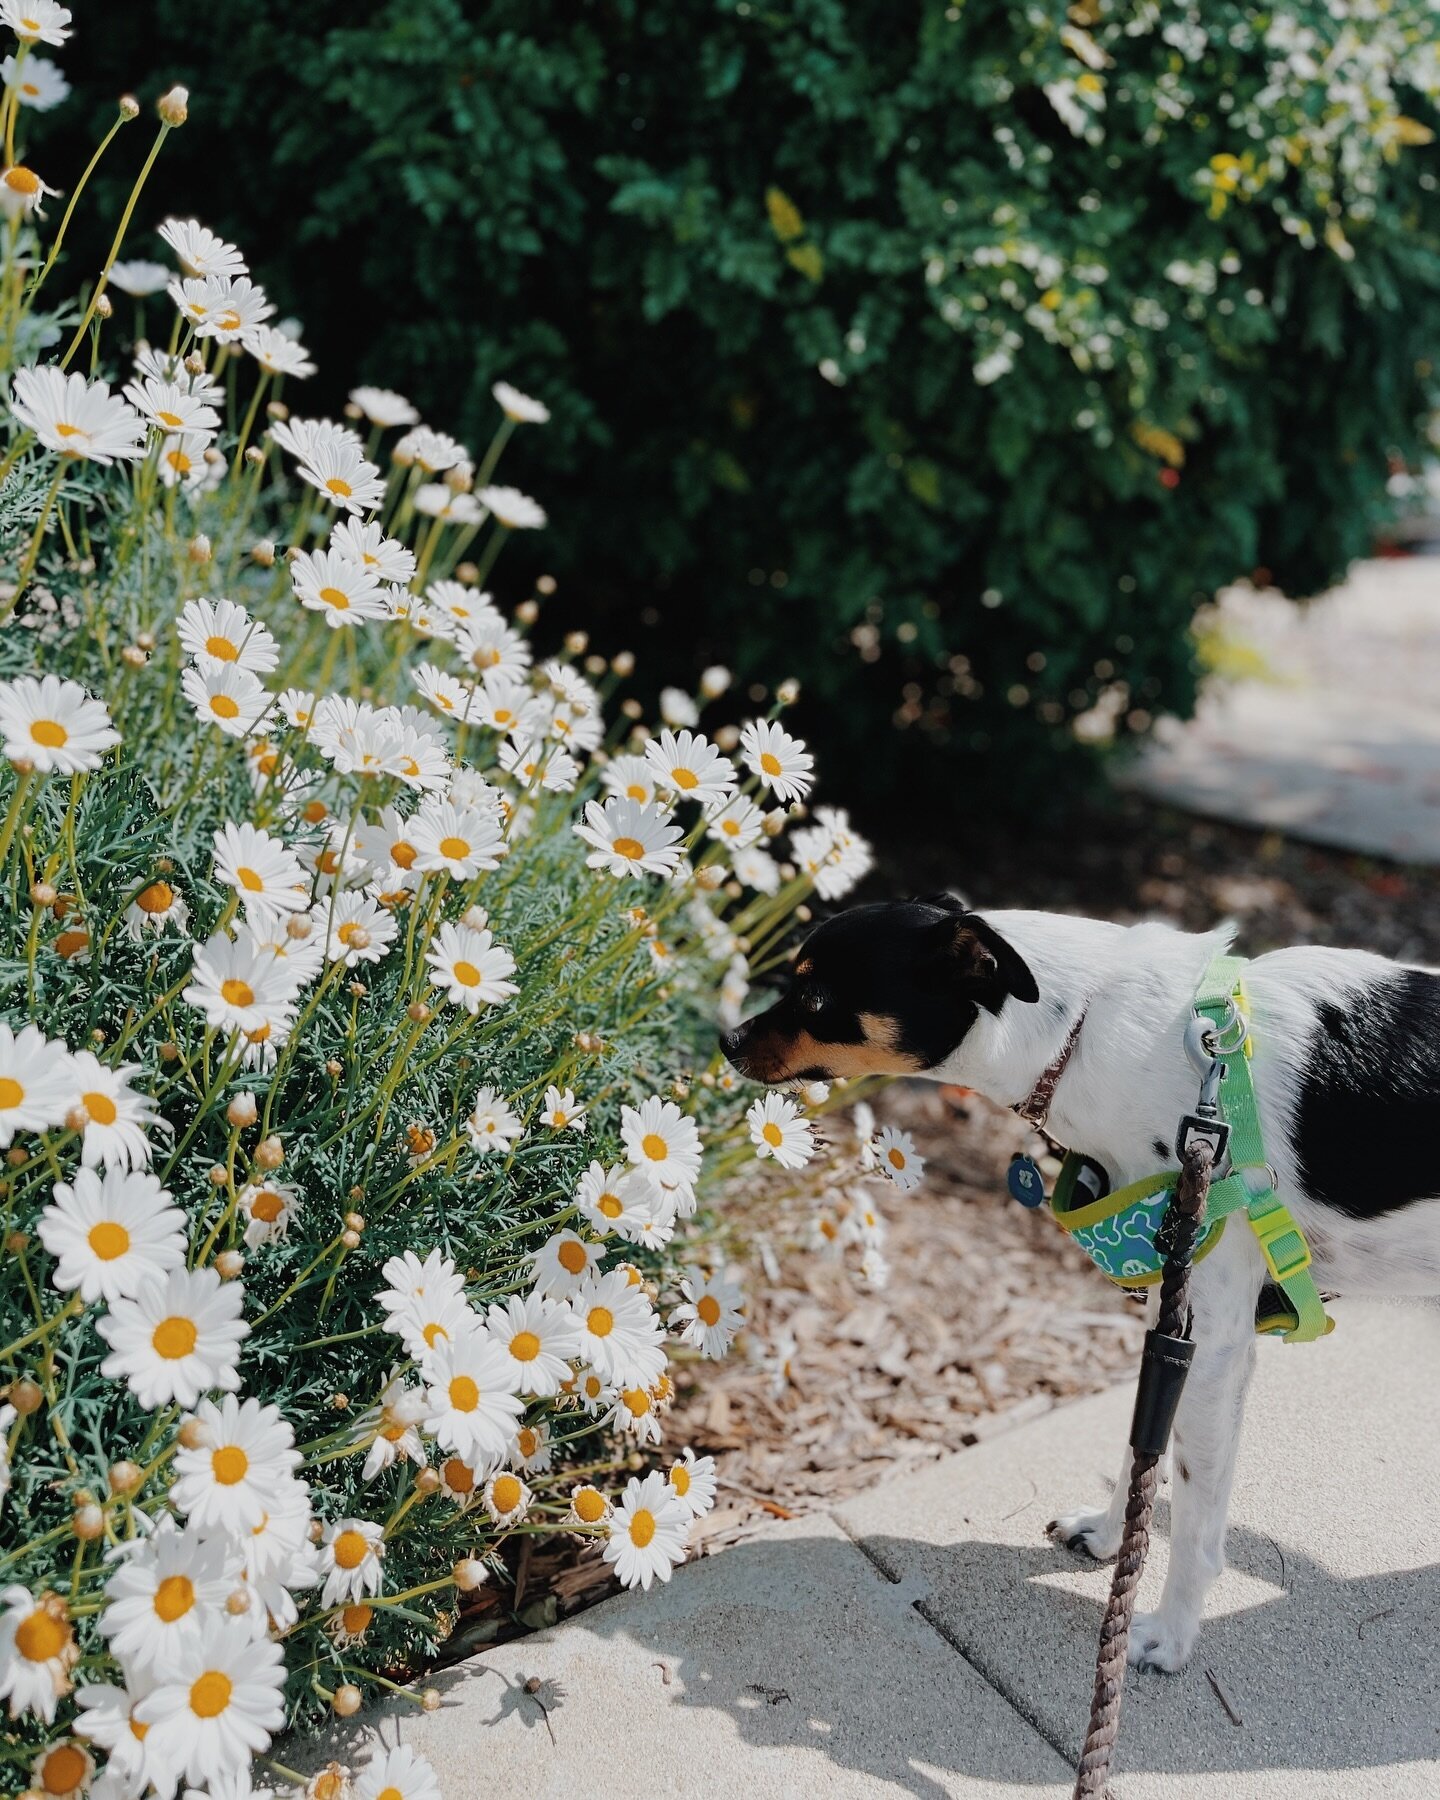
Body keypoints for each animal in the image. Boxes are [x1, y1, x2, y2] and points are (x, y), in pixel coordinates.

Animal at [727, 900, 1440, 1670]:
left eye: (814, 998)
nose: (725, 1040)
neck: (1087, 1026)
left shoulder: (1212, 1342)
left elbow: (1192, 1516)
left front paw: (1168, 1635)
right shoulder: (1173, 1316)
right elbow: (1142, 1446)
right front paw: (1107, 1537)